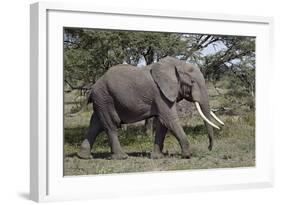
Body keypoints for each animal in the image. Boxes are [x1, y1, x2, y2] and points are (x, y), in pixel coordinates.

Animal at [76, 56, 223, 160]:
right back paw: (122, 157)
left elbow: (163, 123)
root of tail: (92, 88)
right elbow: (169, 119)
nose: (209, 148)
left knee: (96, 124)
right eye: (192, 82)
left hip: (102, 100)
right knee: (110, 125)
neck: (177, 64)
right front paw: (187, 155)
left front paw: (157, 157)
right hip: (105, 98)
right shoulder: (160, 93)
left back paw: (84, 157)